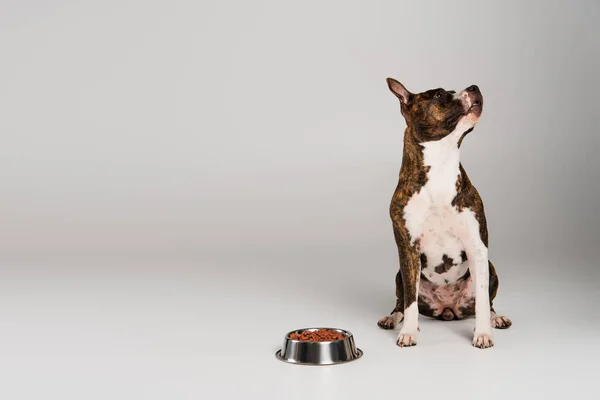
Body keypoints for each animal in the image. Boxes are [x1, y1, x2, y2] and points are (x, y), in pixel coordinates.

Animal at [376, 77, 510, 346]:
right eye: (438, 95)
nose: (474, 88)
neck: (441, 163)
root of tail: (448, 309)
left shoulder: (477, 247)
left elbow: (482, 300)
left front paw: (482, 333)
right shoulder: (408, 250)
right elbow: (410, 302)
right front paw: (408, 331)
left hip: (490, 267)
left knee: (488, 301)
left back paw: (495, 318)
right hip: (399, 274)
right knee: (401, 301)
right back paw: (393, 318)